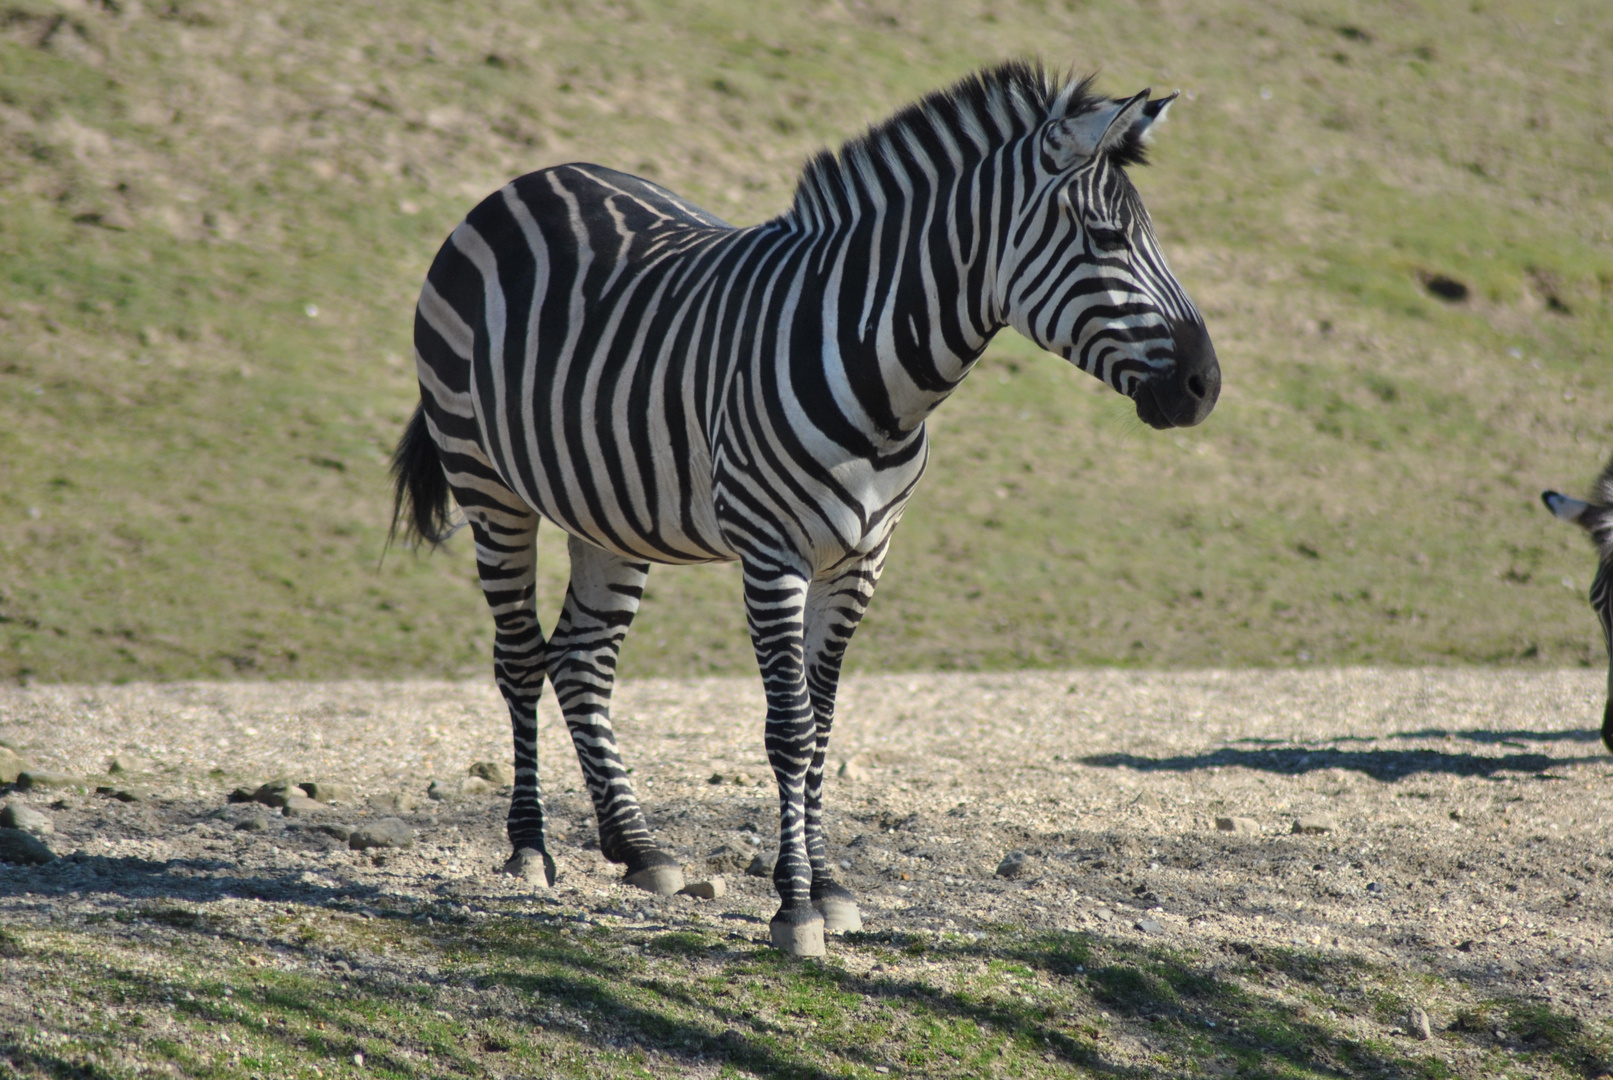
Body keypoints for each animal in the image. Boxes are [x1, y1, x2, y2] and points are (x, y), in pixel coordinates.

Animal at [390, 61, 1219, 954]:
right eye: (1105, 239)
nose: (1206, 386)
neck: (883, 380)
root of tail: (528, 181)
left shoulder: (861, 559)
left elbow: (821, 730)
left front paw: (831, 890)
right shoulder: (770, 554)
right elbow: (787, 731)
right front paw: (792, 909)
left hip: (606, 509)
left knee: (582, 659)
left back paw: (638, 847)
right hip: (489, 485)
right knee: (519, 657)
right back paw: (529, 847)